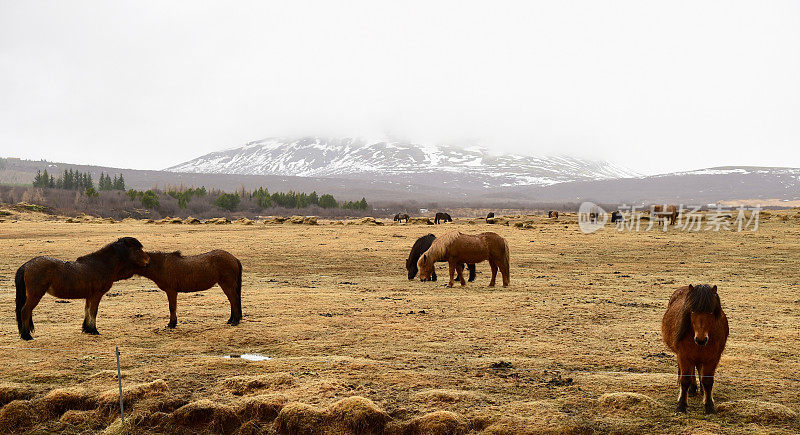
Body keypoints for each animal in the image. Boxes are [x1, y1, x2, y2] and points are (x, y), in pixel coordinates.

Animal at [14, 238, 149, 340]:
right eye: (137, 249)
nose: (148, 261)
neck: (101, 265)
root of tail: (26, 265)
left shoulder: (89, 296)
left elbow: (87, 311)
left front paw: (87, 329)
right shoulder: (96, 295)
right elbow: (93, 312)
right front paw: (94, 330)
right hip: (35, 295)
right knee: (25, 311)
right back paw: (26, 336)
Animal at [660, 286, 728, 416]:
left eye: (711, 311)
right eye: (692, 311)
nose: (701, 339)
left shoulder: (712, 358)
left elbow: (707, 381)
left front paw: (709, 406)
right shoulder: (684, 356)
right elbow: (685, 380)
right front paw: (681, 406)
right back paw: (691, 390)